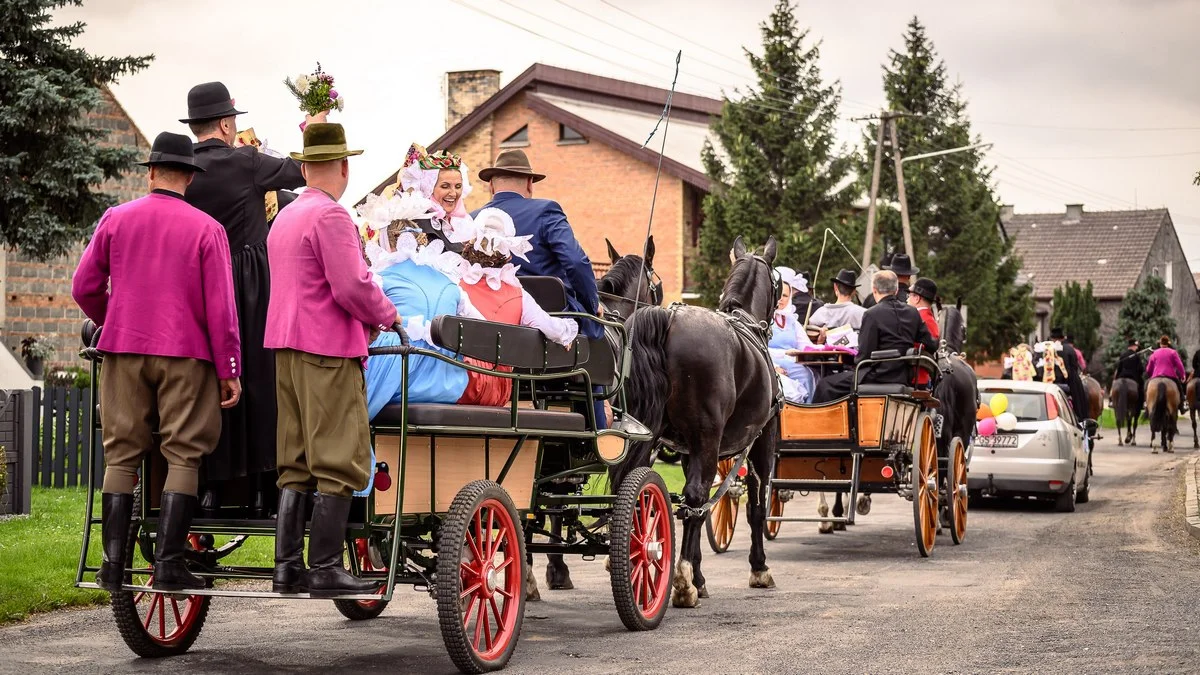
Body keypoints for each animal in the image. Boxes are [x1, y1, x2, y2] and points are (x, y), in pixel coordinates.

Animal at [609, 236, 777, 605]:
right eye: (778, 282)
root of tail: (667, 317)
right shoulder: (762, 439)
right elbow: (756, 507)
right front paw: (759, 568)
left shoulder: (687, 449)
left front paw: (700, 576)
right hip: (709, 439)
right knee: (697, 498)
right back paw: (682, 581)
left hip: (645, 435)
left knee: (634, 490)